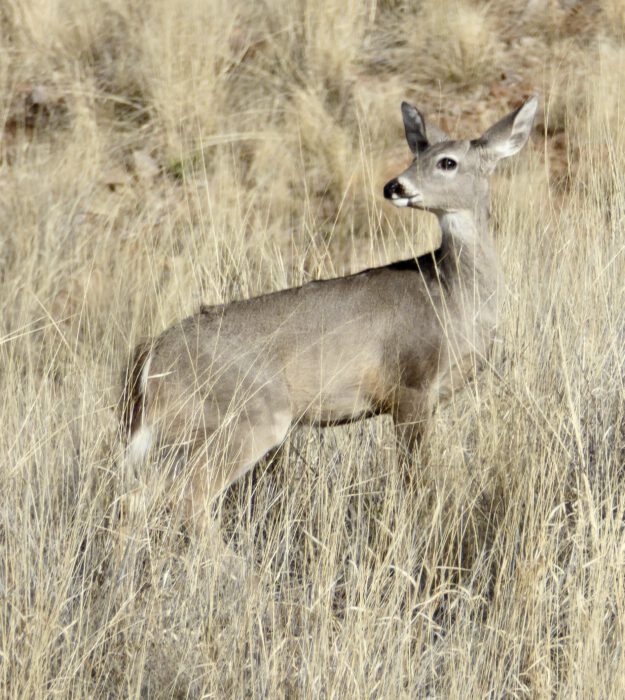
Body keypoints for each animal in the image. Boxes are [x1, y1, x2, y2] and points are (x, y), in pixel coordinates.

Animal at [120, 96, 538, 537]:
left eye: (446, 161)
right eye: (416, 155)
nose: (394, 186)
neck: (451, 294)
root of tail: (151, 357)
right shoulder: (411, 384)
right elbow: (416, 480)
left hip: (181, 434)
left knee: (139, 497)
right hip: (250, 413)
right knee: (190, 495)